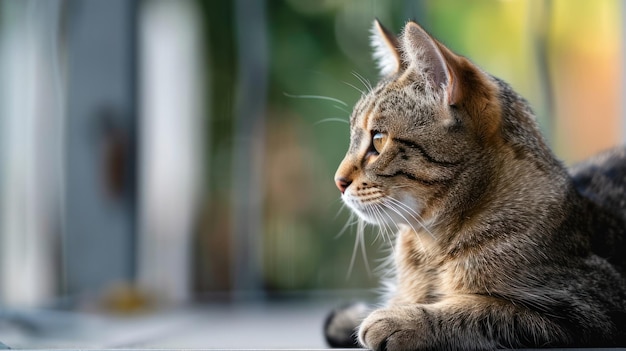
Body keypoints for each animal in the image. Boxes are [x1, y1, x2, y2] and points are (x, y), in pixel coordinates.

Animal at [322, 20, 624, 351]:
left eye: (378, 140)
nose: (338, 181)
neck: (431, 249)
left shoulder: (586, 302)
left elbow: (482, 310)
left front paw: (401, 319)